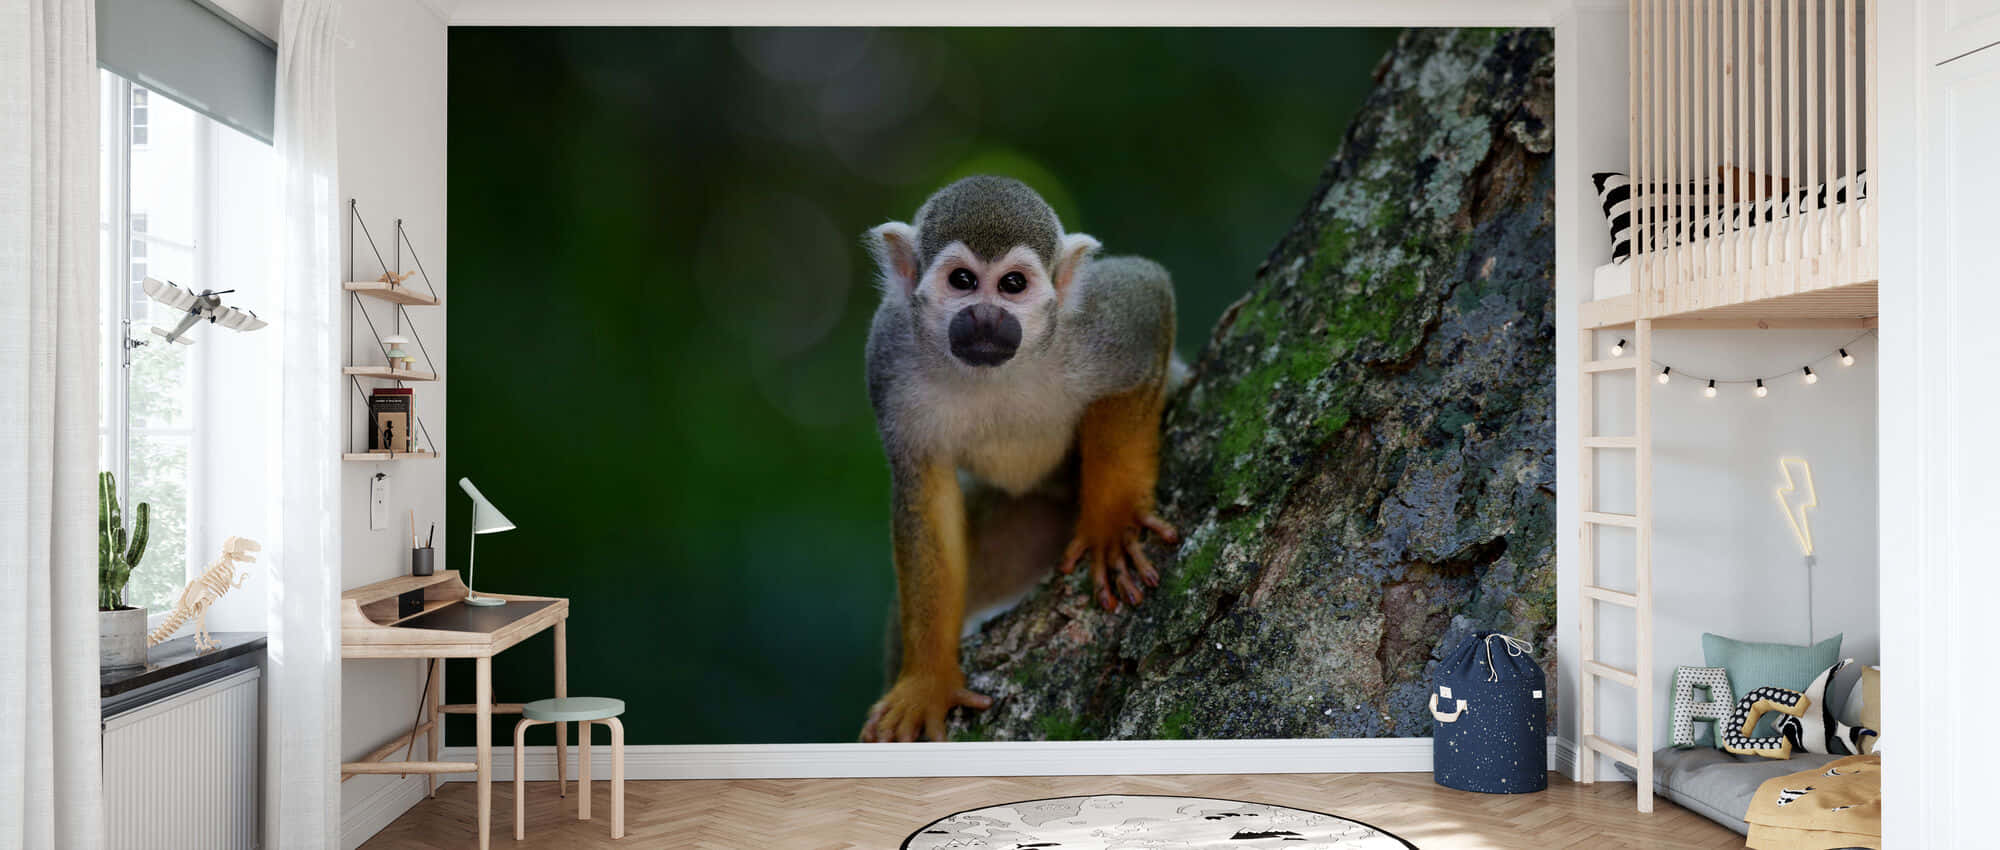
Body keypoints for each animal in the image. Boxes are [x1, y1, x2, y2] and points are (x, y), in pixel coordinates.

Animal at [858, 176, 1182, 743]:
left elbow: (1149, 295)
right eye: (963, 280)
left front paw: (1112, 520)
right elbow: (925, 494)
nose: (986, 318)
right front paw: (927, 681)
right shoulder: (889, 355)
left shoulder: (1097, 323)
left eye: (1012, 284)